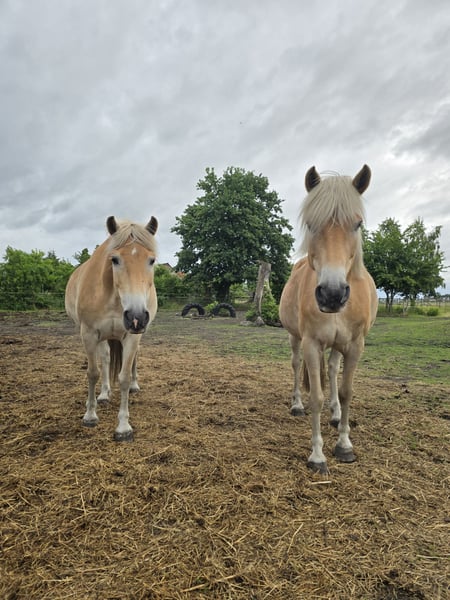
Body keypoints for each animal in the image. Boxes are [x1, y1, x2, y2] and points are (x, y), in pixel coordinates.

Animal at [65, 216, 158, 441]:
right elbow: (93, 373)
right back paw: (104, 394)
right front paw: (90, 415)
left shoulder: (132, 336)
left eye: (151, 260)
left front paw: (123, 427)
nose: (136, 317)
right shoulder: (89, 334)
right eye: (114, 259)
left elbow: (123, 377)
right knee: (106, 359)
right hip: (103, 337)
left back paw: (134, 386)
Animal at [279, 165, 378, 474]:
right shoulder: (311, 343)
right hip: (295, 338)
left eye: (357, 224)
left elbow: (346, 391)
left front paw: (344, 444)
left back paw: (335, 415)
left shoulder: (356, 345)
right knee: (296, 366)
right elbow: (316, 396)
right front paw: (317, 455)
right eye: (311, 224)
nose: (332, 294)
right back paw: (297, 405)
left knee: (333, 369)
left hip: (338, 344)